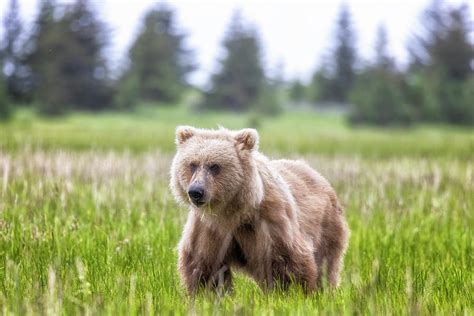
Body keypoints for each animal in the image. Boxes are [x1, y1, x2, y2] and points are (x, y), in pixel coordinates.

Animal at [169, 126, 348, 294]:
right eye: (192, 164)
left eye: (214, 166)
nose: (196, 191)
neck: (233, 210)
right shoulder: (210, 228)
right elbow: (203, 264)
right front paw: (208, 294)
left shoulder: (268, 221)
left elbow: (288, 260)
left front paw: (292, 292)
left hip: (327, 227)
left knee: (326, 264)